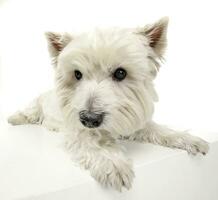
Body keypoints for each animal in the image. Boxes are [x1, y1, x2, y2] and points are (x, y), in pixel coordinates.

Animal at [8, 18, 209, 191]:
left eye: (120, 73)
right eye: (77, 74)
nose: (89, 119)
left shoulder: (136, 121)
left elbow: (159, 130)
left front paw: (192, 140)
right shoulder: (77, 131)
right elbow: (91, 143)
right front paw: (113, 164)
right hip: (36, 104)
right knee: (29, 112)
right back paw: (14, 118)